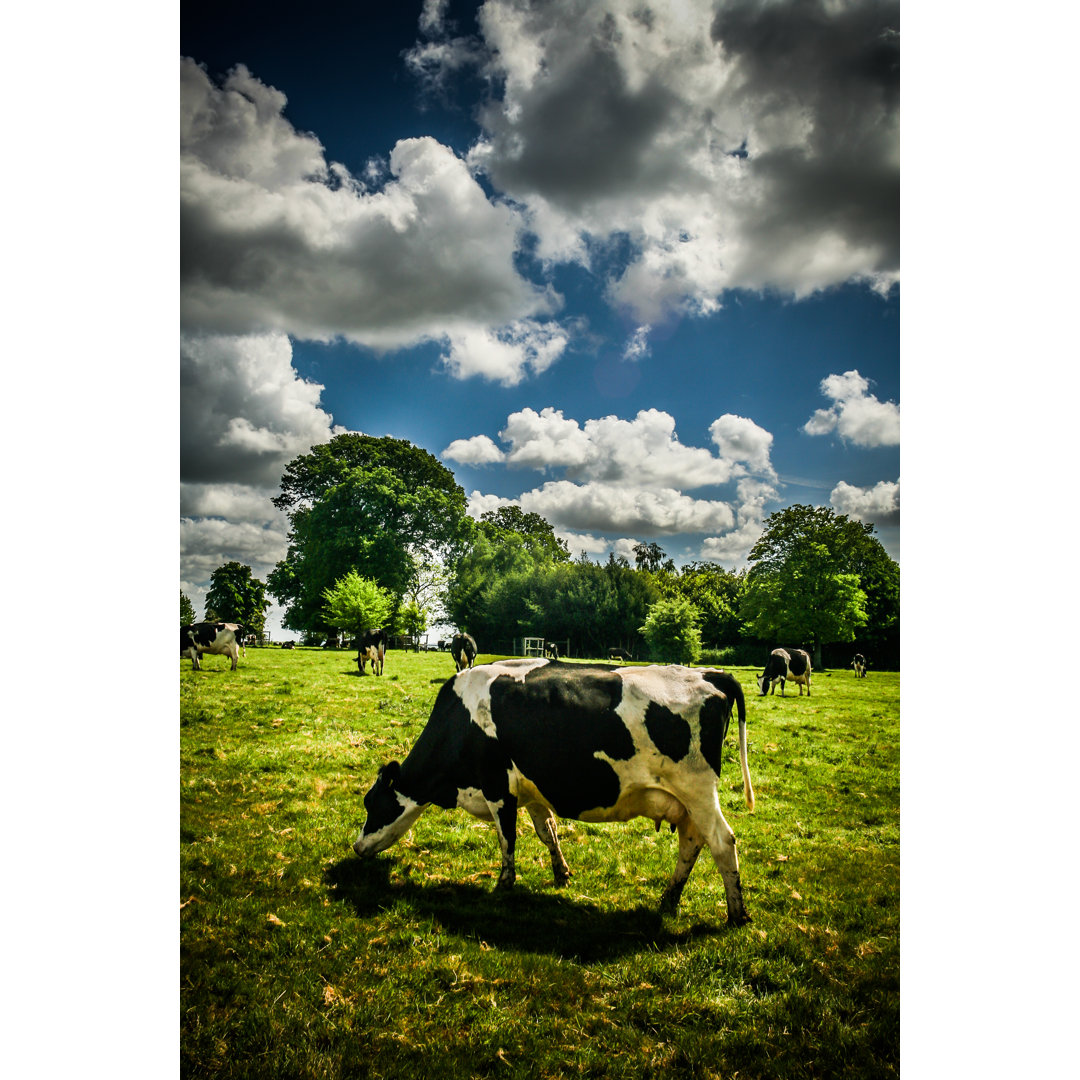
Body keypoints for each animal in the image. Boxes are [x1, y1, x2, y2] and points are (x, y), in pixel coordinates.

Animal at [352, 660, 751, 924]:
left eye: (372, 803)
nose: (356, 848)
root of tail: (708, 673)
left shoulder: (497, 787)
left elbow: (507, 838)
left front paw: (504, 885)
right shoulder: (531, 790)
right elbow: (548, 832)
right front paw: (562, 874)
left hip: (697, 789)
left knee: (722, 841)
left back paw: (737, 914)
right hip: (685, 801)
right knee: (692, 842)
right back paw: (669, 898)